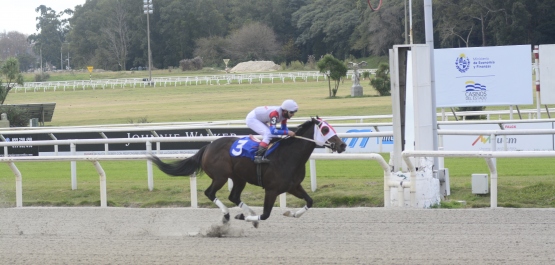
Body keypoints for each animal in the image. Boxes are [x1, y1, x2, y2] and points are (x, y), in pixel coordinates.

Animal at [150, 117, 346, 227]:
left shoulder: (293, 186)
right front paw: (246, 218)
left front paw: (291, 213)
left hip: (239, 178)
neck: (288, 156)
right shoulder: (272, 190)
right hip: (220, 176)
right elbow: (265, 215)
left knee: (234, 196)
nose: (343, 145)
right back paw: (228, 215)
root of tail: (207, 147)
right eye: (325, 129)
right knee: (210, 193)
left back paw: (247, 211)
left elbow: (310, 201)